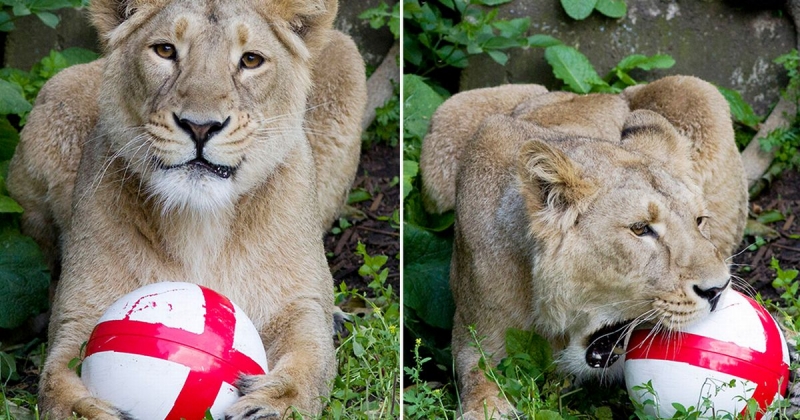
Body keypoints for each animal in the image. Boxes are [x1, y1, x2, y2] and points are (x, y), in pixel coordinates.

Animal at [6, 0, 366, 418]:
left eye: (251, 60)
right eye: (165, 50)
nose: (200, 127)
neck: (198, 223)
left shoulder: (299, 304)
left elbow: (311, 361)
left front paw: (271, 404)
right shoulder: (79, 314)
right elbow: (55, 383)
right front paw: (89, 409)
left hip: (346, 54)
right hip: (54, 97)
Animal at [419, 76, 748, 418]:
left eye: (699, 221)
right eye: (640, 229)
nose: (717, 290)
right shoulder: (477, 331)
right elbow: (478, 379)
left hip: (697, 91)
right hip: (448, 124)